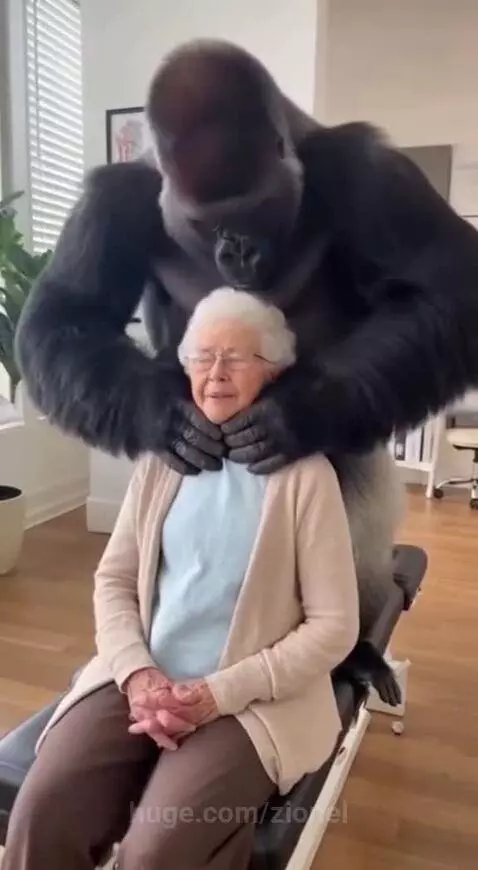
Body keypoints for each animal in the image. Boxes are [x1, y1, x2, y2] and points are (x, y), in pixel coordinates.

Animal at [14, 39, 478, 702]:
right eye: (207, 224)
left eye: (255, 211)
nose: (237, 250)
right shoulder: (115, 196)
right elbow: (65, 315)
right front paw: (166, 416)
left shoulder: (363, 164)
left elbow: (449, 289)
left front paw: (297, 410)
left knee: (353, 499)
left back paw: (356, 649)